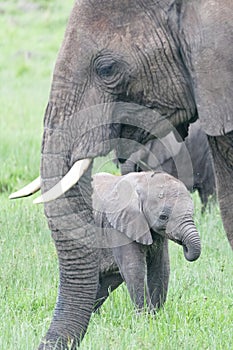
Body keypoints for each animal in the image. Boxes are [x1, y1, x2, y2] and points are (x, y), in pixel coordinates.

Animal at [92, 171, 201, 310]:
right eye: (163, 217)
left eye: (191, 213)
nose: (185, 247)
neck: (141, 180)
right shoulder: (118, 226)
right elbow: (134, 268)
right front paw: (146, 314)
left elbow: (161, 266)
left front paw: (157, 313)